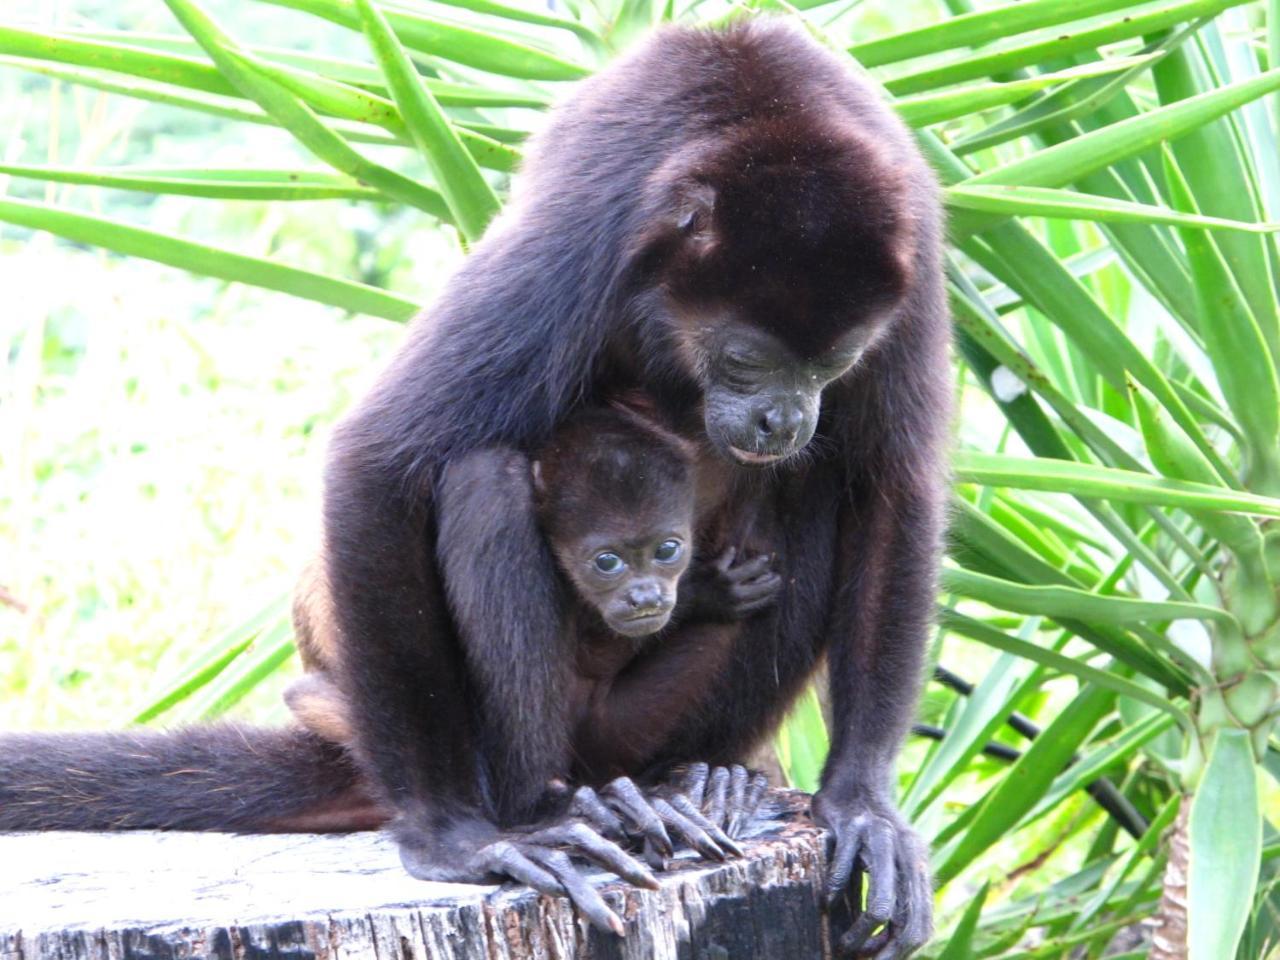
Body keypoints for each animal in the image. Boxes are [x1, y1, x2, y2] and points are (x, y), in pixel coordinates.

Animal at [322, 15, 942, 960]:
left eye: (833, 362)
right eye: (745, 359)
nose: (784, 419)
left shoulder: (915, 252)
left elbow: (890, 487)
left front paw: (862, 805)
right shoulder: (582, 239)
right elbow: (381, 459)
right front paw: (450, 837)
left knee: (822, 480)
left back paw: (698, 780)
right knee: (482, 478)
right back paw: (563, 804)